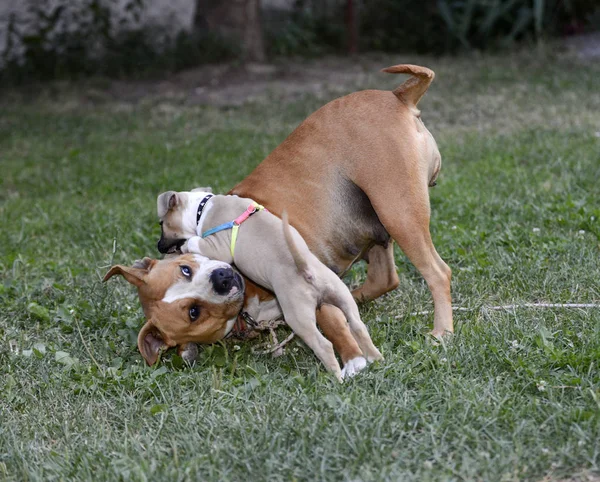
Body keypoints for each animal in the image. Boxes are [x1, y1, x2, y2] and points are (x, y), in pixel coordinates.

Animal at [158, 188, 384, 380]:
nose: (158, 246)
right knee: (358, 326)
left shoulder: (218, 245)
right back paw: (376, 359)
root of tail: (307, 271)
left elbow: (197, 241)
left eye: (161, 224)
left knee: (324, 345)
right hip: (342, 295)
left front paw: (187, 244)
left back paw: (337, 378)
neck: (202, 206)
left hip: (299, 318)